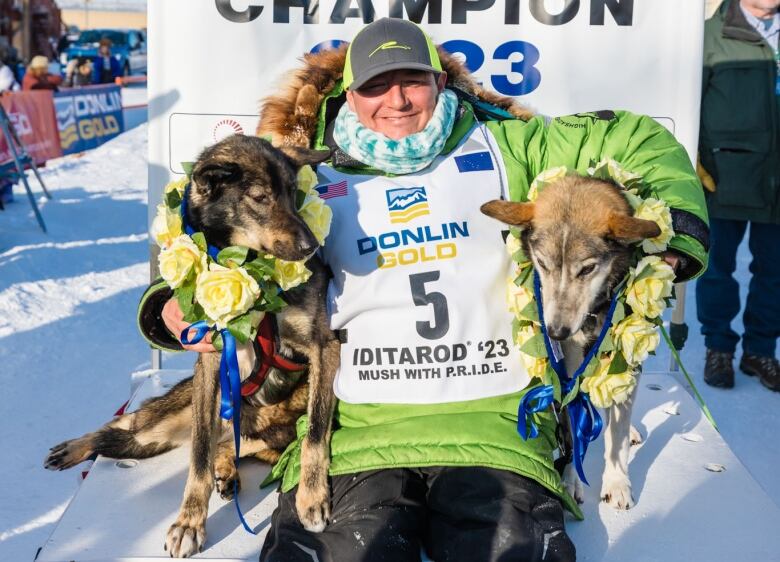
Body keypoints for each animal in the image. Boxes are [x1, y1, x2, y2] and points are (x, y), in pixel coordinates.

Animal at [45, 133, 338, 552]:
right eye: (260, 197)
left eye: (294, 195)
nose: (311, 246)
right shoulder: (212, 362)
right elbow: (198, 454)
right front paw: (189, 522)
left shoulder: (325, 346)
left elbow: (314, 433)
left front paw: (311, 497)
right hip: (169, 417)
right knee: (121, 425)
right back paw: (74, 447)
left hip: (274, 430)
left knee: (226, 443)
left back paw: (227, 470)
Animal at [482, 175, 664, 508]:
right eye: (543, 264)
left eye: (587, 268)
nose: (556, 332)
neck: (591, 314)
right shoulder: (565, 369)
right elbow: (570, 425)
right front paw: (569, 480)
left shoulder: (622, 356)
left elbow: (616, 435)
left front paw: (617, 481)